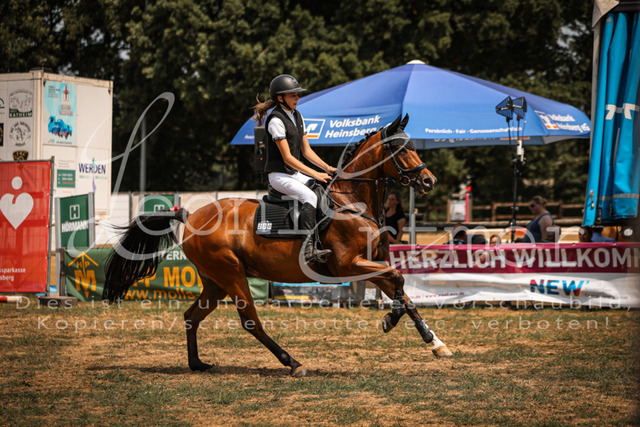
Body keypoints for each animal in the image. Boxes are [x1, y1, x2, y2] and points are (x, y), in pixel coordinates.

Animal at [103, 114, 452, 377]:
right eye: (400, 149)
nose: (429, 181)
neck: (353, 202)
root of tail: (191, 215)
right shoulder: (348, 266)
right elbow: (399, 281)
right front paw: (389, 321)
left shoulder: (371, 265)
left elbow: (404, 293)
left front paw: (435, 343)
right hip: (231, 275)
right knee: (250, 321)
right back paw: (292, 362)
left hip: (215, 281)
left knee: (192, 315)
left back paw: (197, 363)